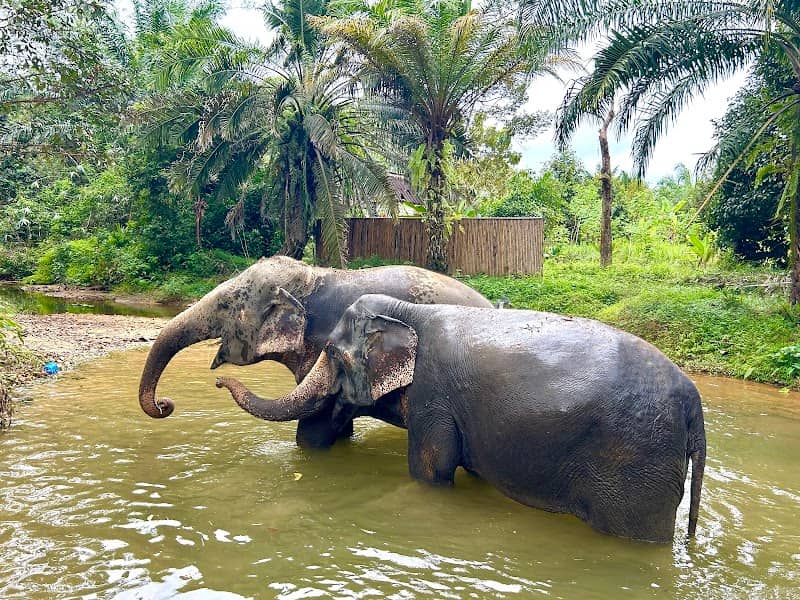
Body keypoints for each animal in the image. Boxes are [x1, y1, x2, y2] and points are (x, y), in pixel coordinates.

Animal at [215, 294, 707, 543]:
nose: (217, 377)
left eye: (334, 354)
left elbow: (430, 473)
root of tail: (694, 405)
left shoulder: (434, 395)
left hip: (635, 468)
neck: (411, 313)